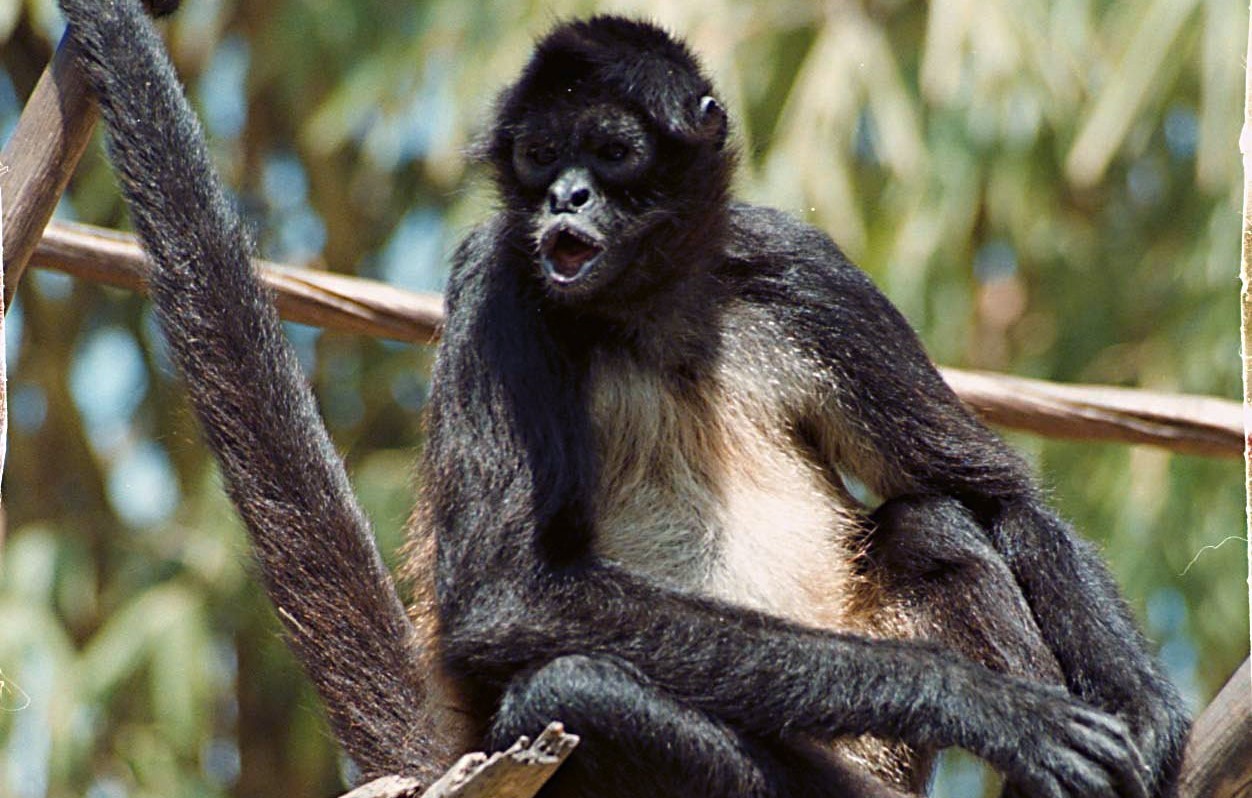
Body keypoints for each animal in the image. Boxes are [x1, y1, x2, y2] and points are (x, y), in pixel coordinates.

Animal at [56, 2, 1189, 797]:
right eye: (537, 159)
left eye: (608, 152)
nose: (565, 197)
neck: (648, 312)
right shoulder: (498, 280)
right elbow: (508, 602)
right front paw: (992, 708)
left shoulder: (803, 270)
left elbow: (992, 493)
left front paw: (1145, 709)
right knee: (578, 690)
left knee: (937, 525)